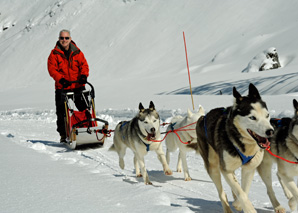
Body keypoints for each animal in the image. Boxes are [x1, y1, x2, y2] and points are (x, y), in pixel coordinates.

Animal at [190, 83, 274, 213]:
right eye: (252, 118)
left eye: (267, 115)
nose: (270, 131)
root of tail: (202, 118)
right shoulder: (226, 170)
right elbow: (241, 193)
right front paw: (248, 208)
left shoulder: (249, 169)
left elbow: (243, 191)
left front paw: (238, 204)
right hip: (213, 167)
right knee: (222, 193)